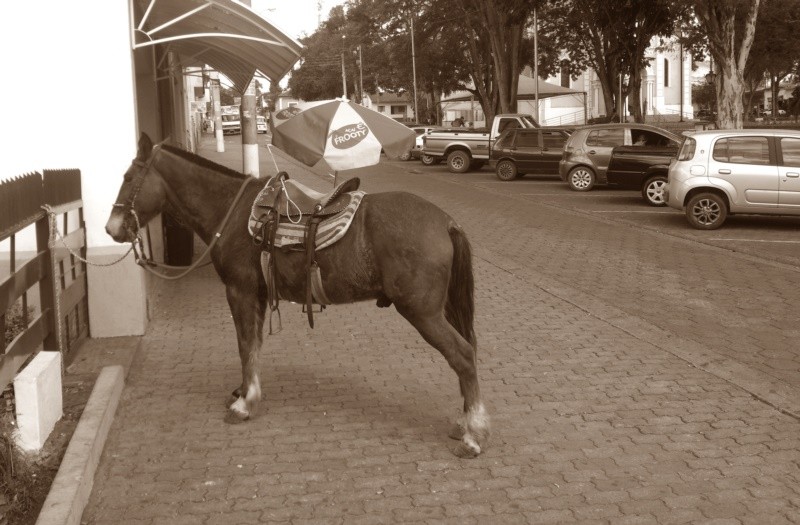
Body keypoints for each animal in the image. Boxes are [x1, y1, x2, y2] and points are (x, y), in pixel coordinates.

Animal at [101, 133, 488, 456]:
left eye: (129, 178)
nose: (111, 227)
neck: (232, 211)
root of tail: (446, 222)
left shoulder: (239, 291)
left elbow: (245, 345)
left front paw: (244, 404)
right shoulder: (255, 294)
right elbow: (253, 345)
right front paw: (245, 392)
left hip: (423, 313)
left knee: (463, 356)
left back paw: (473, 436)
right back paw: (464, 422)